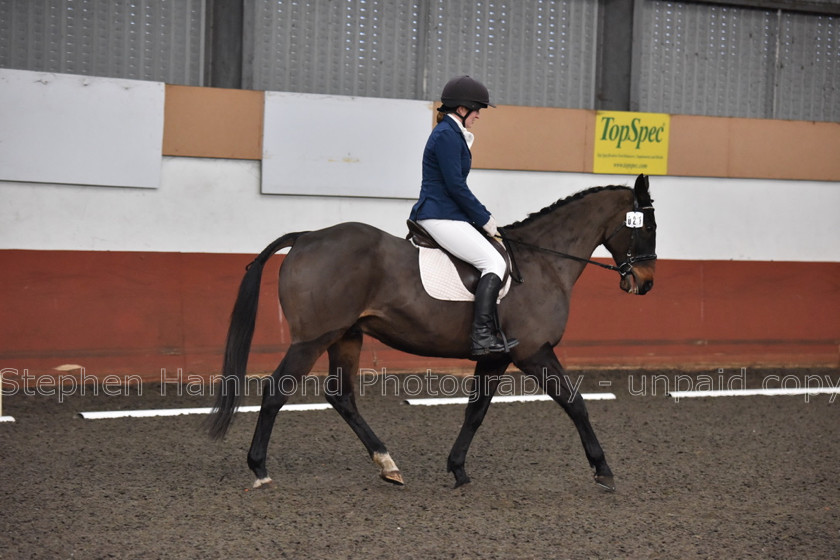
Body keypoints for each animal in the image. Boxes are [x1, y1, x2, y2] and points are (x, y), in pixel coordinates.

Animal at [208, 174, 656, 490]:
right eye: (645, 226)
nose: (646, 283)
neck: (544, 263)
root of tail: (305, 238)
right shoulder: (534, 351)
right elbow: (575, 404)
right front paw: (603, 470)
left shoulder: (497, 356)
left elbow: (476, 411)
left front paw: (457, 469)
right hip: (313, 339)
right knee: (276, 390)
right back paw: (260, 468)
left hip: (346, 336)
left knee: (341, 396)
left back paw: (388, 465)